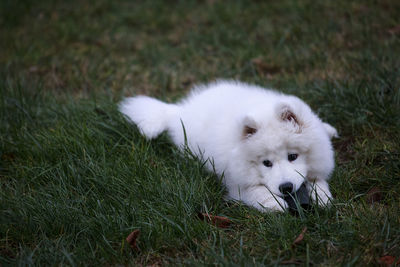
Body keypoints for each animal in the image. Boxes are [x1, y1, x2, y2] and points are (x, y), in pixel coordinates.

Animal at [119, 80, 338, 213]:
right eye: (266, 163)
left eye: (293, 156)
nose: (286, 187)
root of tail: (179, 111)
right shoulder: (236, 183)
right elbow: (256, 192)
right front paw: (274, 204)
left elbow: (317, 178)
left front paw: (322, 197)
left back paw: (329, 129)